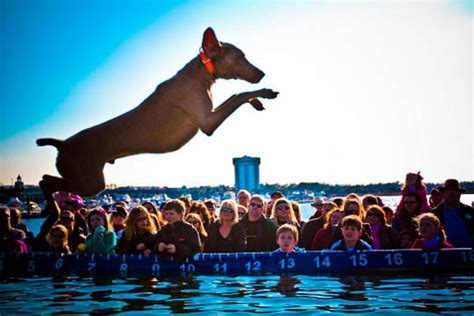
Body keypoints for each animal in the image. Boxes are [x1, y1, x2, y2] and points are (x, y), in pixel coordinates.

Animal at [39, 26, 280, 198]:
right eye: (241, 57)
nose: (262, 73)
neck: (200, 73)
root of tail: (62, 143)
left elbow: (238, 96)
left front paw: (257, 101)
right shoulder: (208, 122)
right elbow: (237, 95)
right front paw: (265, 93)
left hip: (86, 181)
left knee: (47, 181)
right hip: (89, 182)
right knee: (45, 180)